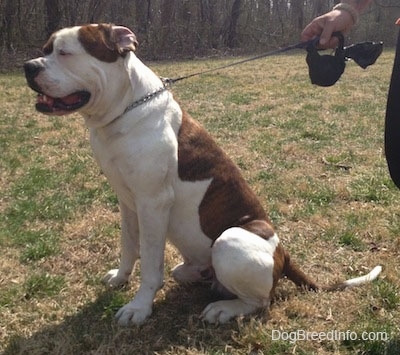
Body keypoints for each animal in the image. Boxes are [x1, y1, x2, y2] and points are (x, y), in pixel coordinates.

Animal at [24, 23, 382, 326]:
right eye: (45, 48)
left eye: (66, 52)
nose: (29, 66)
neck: (124, 110)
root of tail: (283, 253)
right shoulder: (128, 202)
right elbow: (128, 246)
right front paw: (120, 278)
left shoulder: (152, 203)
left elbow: (151, 265)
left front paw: (139, 307)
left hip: (230, 241)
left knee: (261, 301)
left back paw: (224, 309)